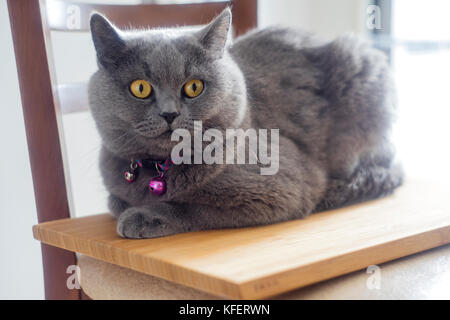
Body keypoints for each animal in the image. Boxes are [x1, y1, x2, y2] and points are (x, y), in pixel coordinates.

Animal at [89, 8, 404, 239]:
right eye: (140, 88)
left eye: (193, 86)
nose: (169, 114)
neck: (161, 168)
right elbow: (115, 200)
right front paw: (130, 206)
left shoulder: (282, 189)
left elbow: (194, 207)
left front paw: (143, 216)